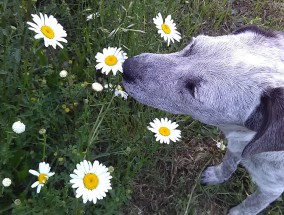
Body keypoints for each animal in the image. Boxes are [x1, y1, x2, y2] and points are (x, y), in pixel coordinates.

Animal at [121, 26, 284, 214]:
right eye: (192, 47)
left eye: (193, 90)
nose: (126, 66)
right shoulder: (235, 147)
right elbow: (228, 164)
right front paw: (216, 176)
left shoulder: (271, 188)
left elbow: (251, 204)